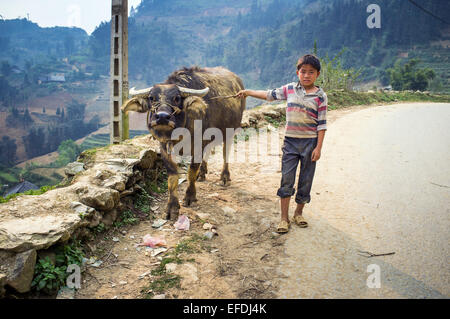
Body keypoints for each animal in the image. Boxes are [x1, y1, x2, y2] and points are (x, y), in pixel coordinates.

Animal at [121, 66, 244, 221]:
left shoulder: (197, 146)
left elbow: (191, 172)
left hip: (230, 131)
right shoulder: (164, 147)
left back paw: (225, 177)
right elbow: (172, 177)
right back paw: (202, 173)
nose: (162, 117)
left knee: (225, 153)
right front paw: (172, 208)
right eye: (151, 98)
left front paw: (190, 197)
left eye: (177, 98)